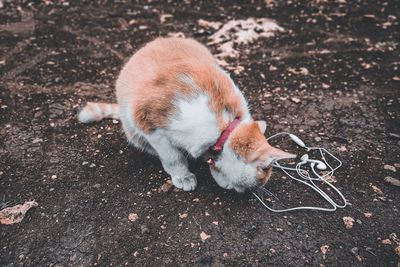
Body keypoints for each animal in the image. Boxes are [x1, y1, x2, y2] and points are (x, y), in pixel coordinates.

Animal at [79, 37, 296, 193]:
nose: (236, 191)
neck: (222, 125)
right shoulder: (149, 124)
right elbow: (172, 156)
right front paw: (182, 175)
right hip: (132, 128)